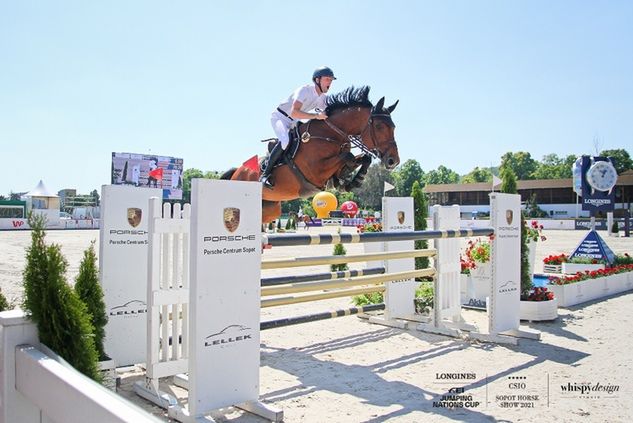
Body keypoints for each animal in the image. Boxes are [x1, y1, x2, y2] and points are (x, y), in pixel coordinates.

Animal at [222, 87, 398, 224]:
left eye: (393, 127)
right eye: (380, 126)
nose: (393, 161)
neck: (331, 134)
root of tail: (238, 172)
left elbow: (363, 158)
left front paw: (352, 180)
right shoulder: (315, 172)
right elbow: (347, 156)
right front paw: (347, 180)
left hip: (269, 209)